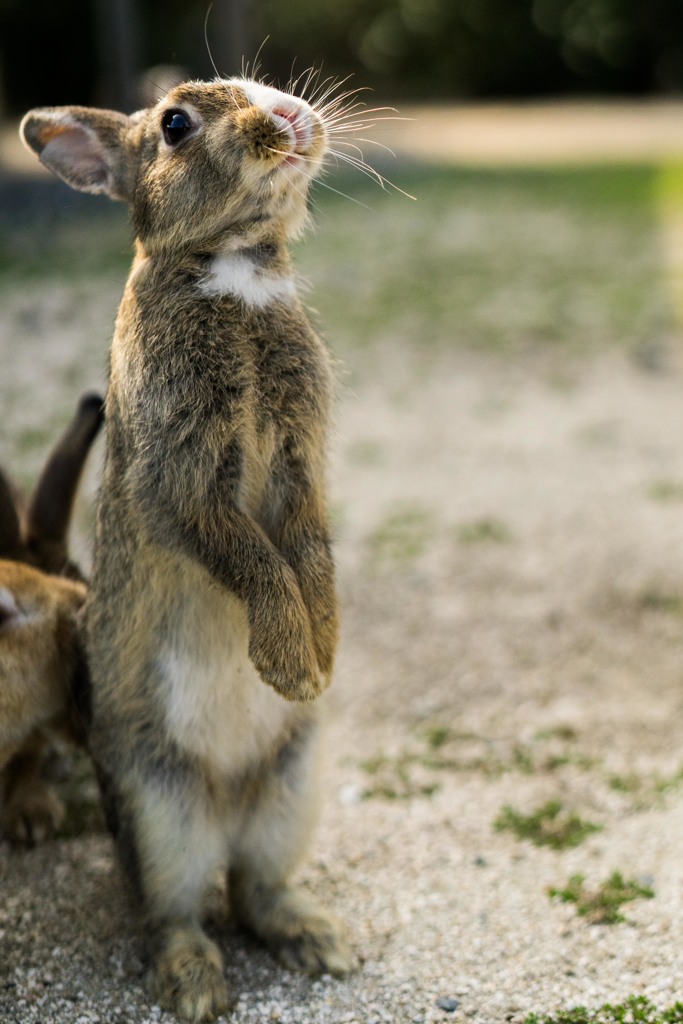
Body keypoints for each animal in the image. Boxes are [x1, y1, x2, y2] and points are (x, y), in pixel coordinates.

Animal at [19, 75, 356, 1019]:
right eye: (174, 124)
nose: (289, 116)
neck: (230, 268)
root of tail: (227, 804)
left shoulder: (300, 464)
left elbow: (308, 548)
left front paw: (318, 657)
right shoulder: (182, 481)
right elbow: (252, 559)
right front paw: (289, 663)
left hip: (293, 784)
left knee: (253, 889)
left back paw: (320, 941)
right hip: (159, 808)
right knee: (174, 908)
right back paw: (196, 985)